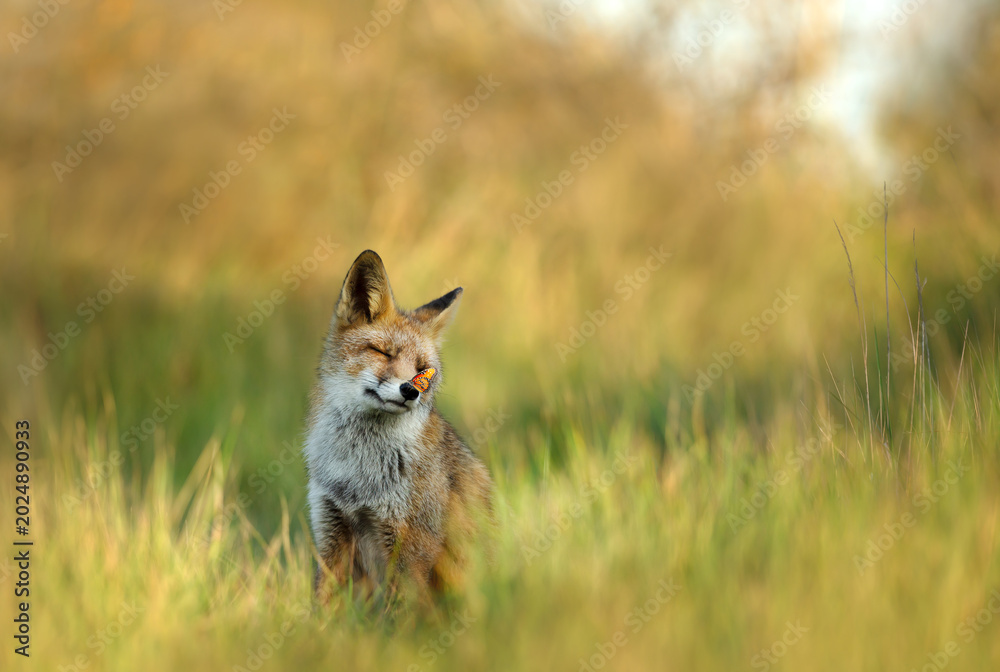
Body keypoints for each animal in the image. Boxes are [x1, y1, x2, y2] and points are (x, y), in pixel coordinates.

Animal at [304, 250, 493, 603]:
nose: (410, 390)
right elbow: (321, 605)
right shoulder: (331, 532)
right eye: (382, 352)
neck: (358, 475)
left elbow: (400, 612)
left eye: (423, 370)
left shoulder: (410, 548)